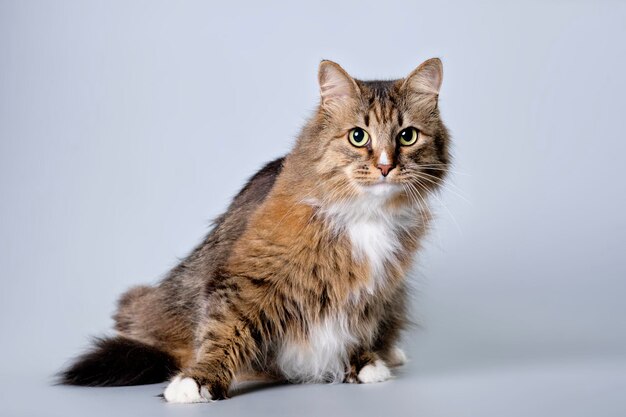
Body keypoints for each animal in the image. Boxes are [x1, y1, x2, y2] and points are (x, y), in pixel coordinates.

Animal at [58, 57, 448, 402]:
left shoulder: (377, 291)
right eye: (357, 136)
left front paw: (363, 363)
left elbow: (359, 329)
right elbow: (224, 330)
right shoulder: (249, 278)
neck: (367, 215)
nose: (385, 166)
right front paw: (198, 382)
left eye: (407, 136)